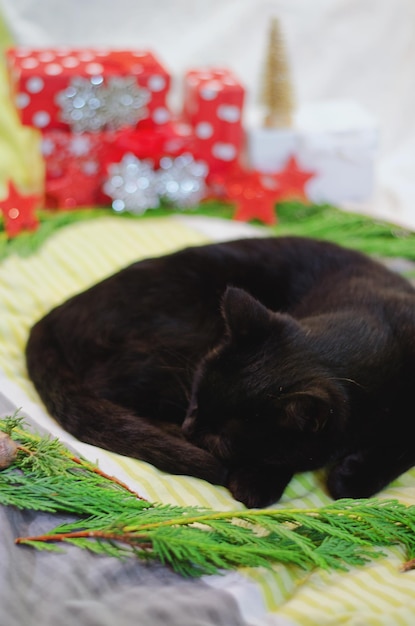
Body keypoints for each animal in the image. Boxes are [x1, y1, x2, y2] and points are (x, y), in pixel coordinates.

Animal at [25, 235, 415, 508]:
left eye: (223, 439)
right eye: (196, 400)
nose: (189, 427)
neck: (372, 330)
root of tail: (55, 315)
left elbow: (399, 445)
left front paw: (350, 476)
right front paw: (258, 482)